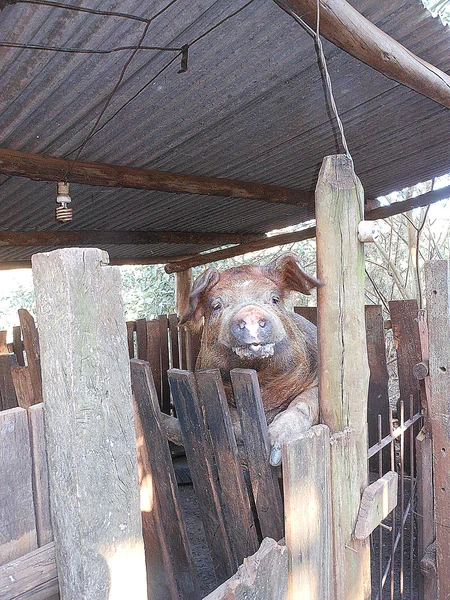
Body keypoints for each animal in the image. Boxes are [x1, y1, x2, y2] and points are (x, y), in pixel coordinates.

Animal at [179, 251, 324, 466]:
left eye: (274, 299)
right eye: (216, 306)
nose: (250, 312)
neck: (263, 385)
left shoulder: (315, 378)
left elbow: (304, 404)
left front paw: (274, 456)